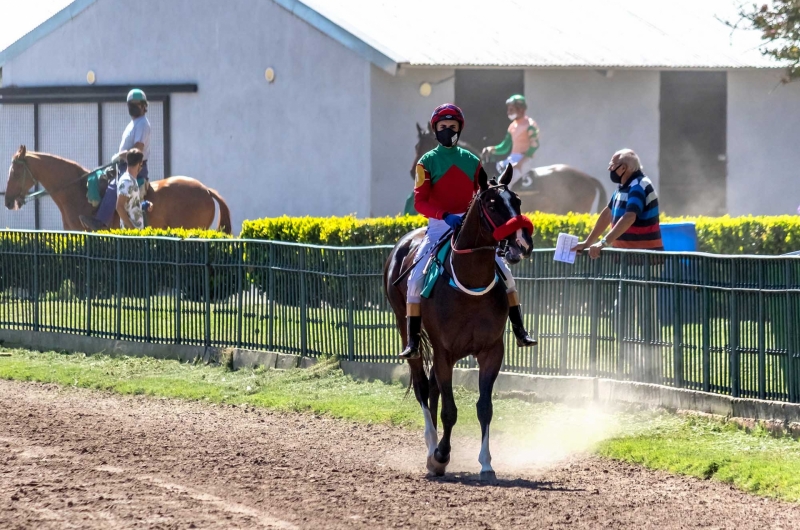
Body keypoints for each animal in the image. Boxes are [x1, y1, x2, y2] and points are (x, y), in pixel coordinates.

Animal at [386, 163, 536, 476]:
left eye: (516, 200)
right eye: (491, 204)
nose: (522, 243)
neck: (469, 283)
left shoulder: (492, 351)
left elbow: (484, 407)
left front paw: (486, 462)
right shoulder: (445, 352)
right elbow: (449, 410)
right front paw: (441, 455)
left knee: (431, 387)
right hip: (406, 330)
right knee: (422, 386)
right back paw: (431, 449)